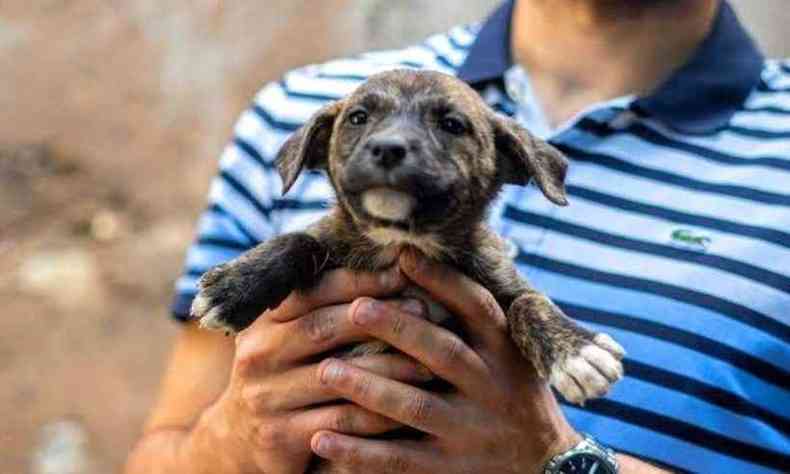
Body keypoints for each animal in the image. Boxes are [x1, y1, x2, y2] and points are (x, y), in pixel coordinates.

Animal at [190, 70, 624, 408]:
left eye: (452, 125)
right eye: (358, 117)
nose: (387, 148)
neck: (402, 242)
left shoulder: (501, 280)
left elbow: (528, 302)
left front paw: (578, 350)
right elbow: (300, 240)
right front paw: (235, 288)